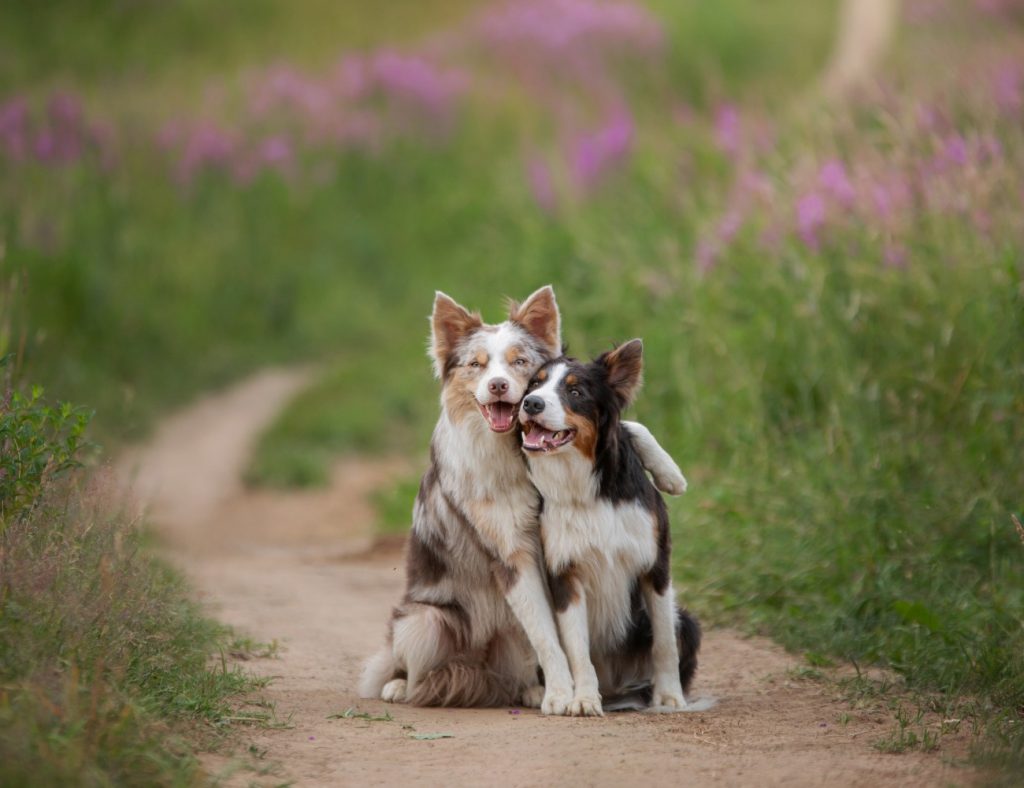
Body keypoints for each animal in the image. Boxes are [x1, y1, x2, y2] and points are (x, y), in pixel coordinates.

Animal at [516, 337, 700, 712]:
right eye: (534, 385)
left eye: (575, 392)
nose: (531, 403)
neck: (585, 489)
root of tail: (616, 686)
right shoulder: (565, 574)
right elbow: (576, 651)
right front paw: (584, 699)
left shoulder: (655, 566)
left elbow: (664, 642)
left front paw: (668, 695)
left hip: (688, 622)